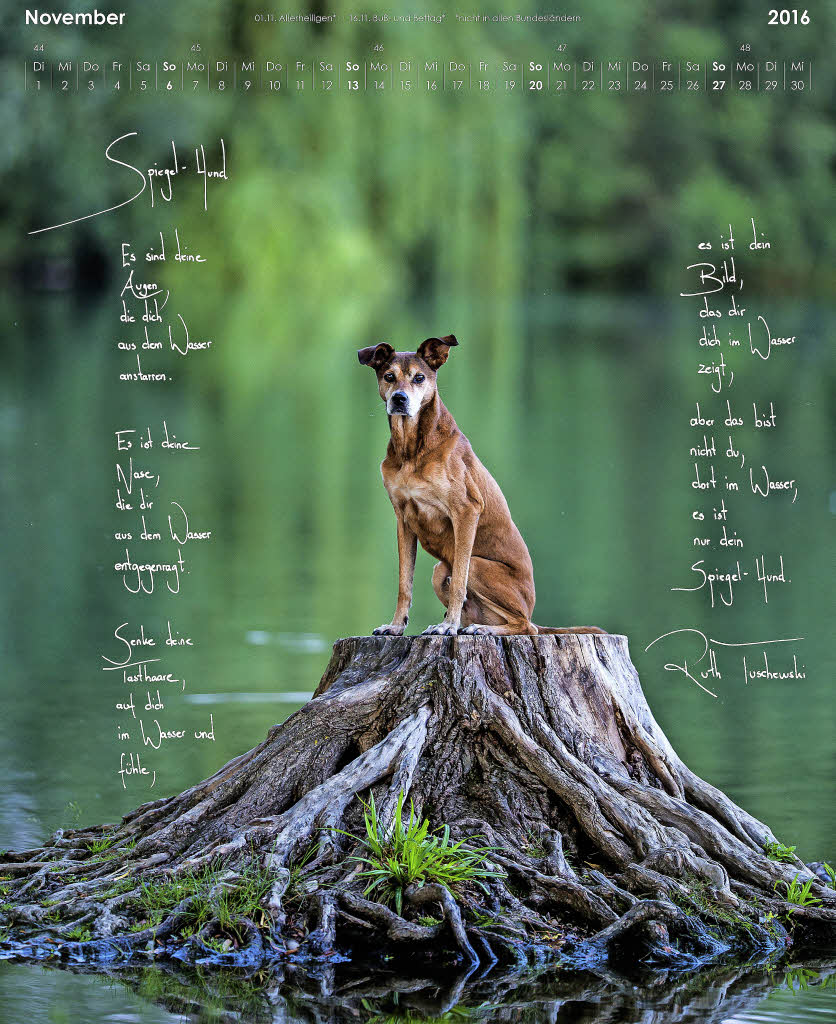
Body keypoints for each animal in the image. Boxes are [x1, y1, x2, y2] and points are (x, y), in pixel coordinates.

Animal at [356, 335, 602, 634]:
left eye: (419, 378)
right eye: (389, 376)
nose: (399, 399)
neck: (411, 451)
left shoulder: (466, 511)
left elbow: (459, 581)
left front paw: (447, 626)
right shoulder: (403, 519)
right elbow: (405, 583)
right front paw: (395, 627)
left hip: (478, 567)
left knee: (525, 626)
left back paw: (480, 629)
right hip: (440, 571)